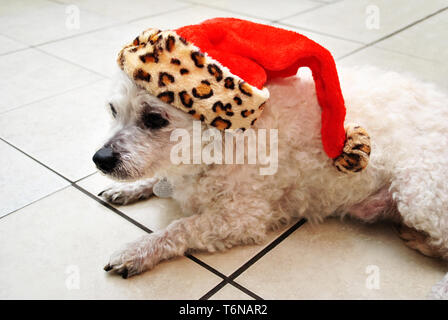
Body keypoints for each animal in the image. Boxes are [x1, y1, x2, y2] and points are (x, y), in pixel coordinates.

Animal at [94, 66, 448, 288]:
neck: (218, 142)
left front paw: (140, 249)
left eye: (155, 118)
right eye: (112, 109)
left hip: (419, 190)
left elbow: (180, 228)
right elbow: (157, 180)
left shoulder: (243, 216)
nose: (100, 159)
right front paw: (133, 189)